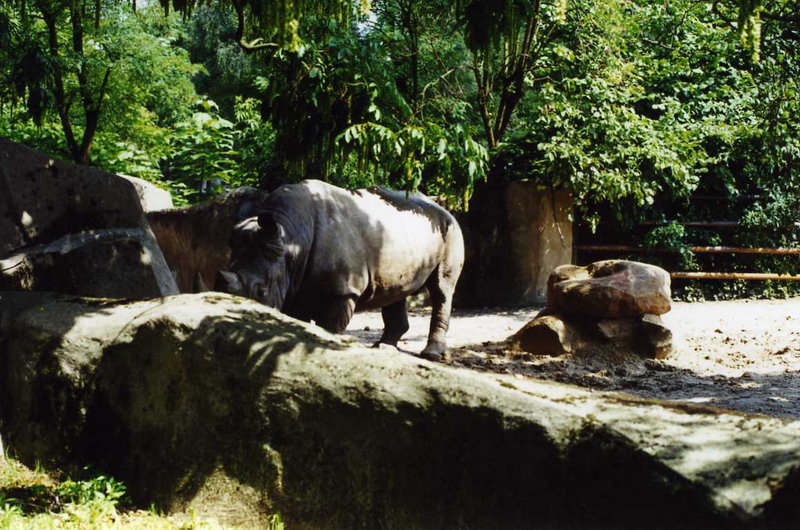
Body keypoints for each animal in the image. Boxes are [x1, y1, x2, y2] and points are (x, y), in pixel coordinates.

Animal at [216, 179, 465, 360]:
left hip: (450, 230)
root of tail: (443, 208)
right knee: (396, 289)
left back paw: (432, 355)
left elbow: (330, 327)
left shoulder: (343, 291)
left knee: (442, 289)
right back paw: (383, 348)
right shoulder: (296, 286)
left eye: (261, 291)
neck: (290, 241)